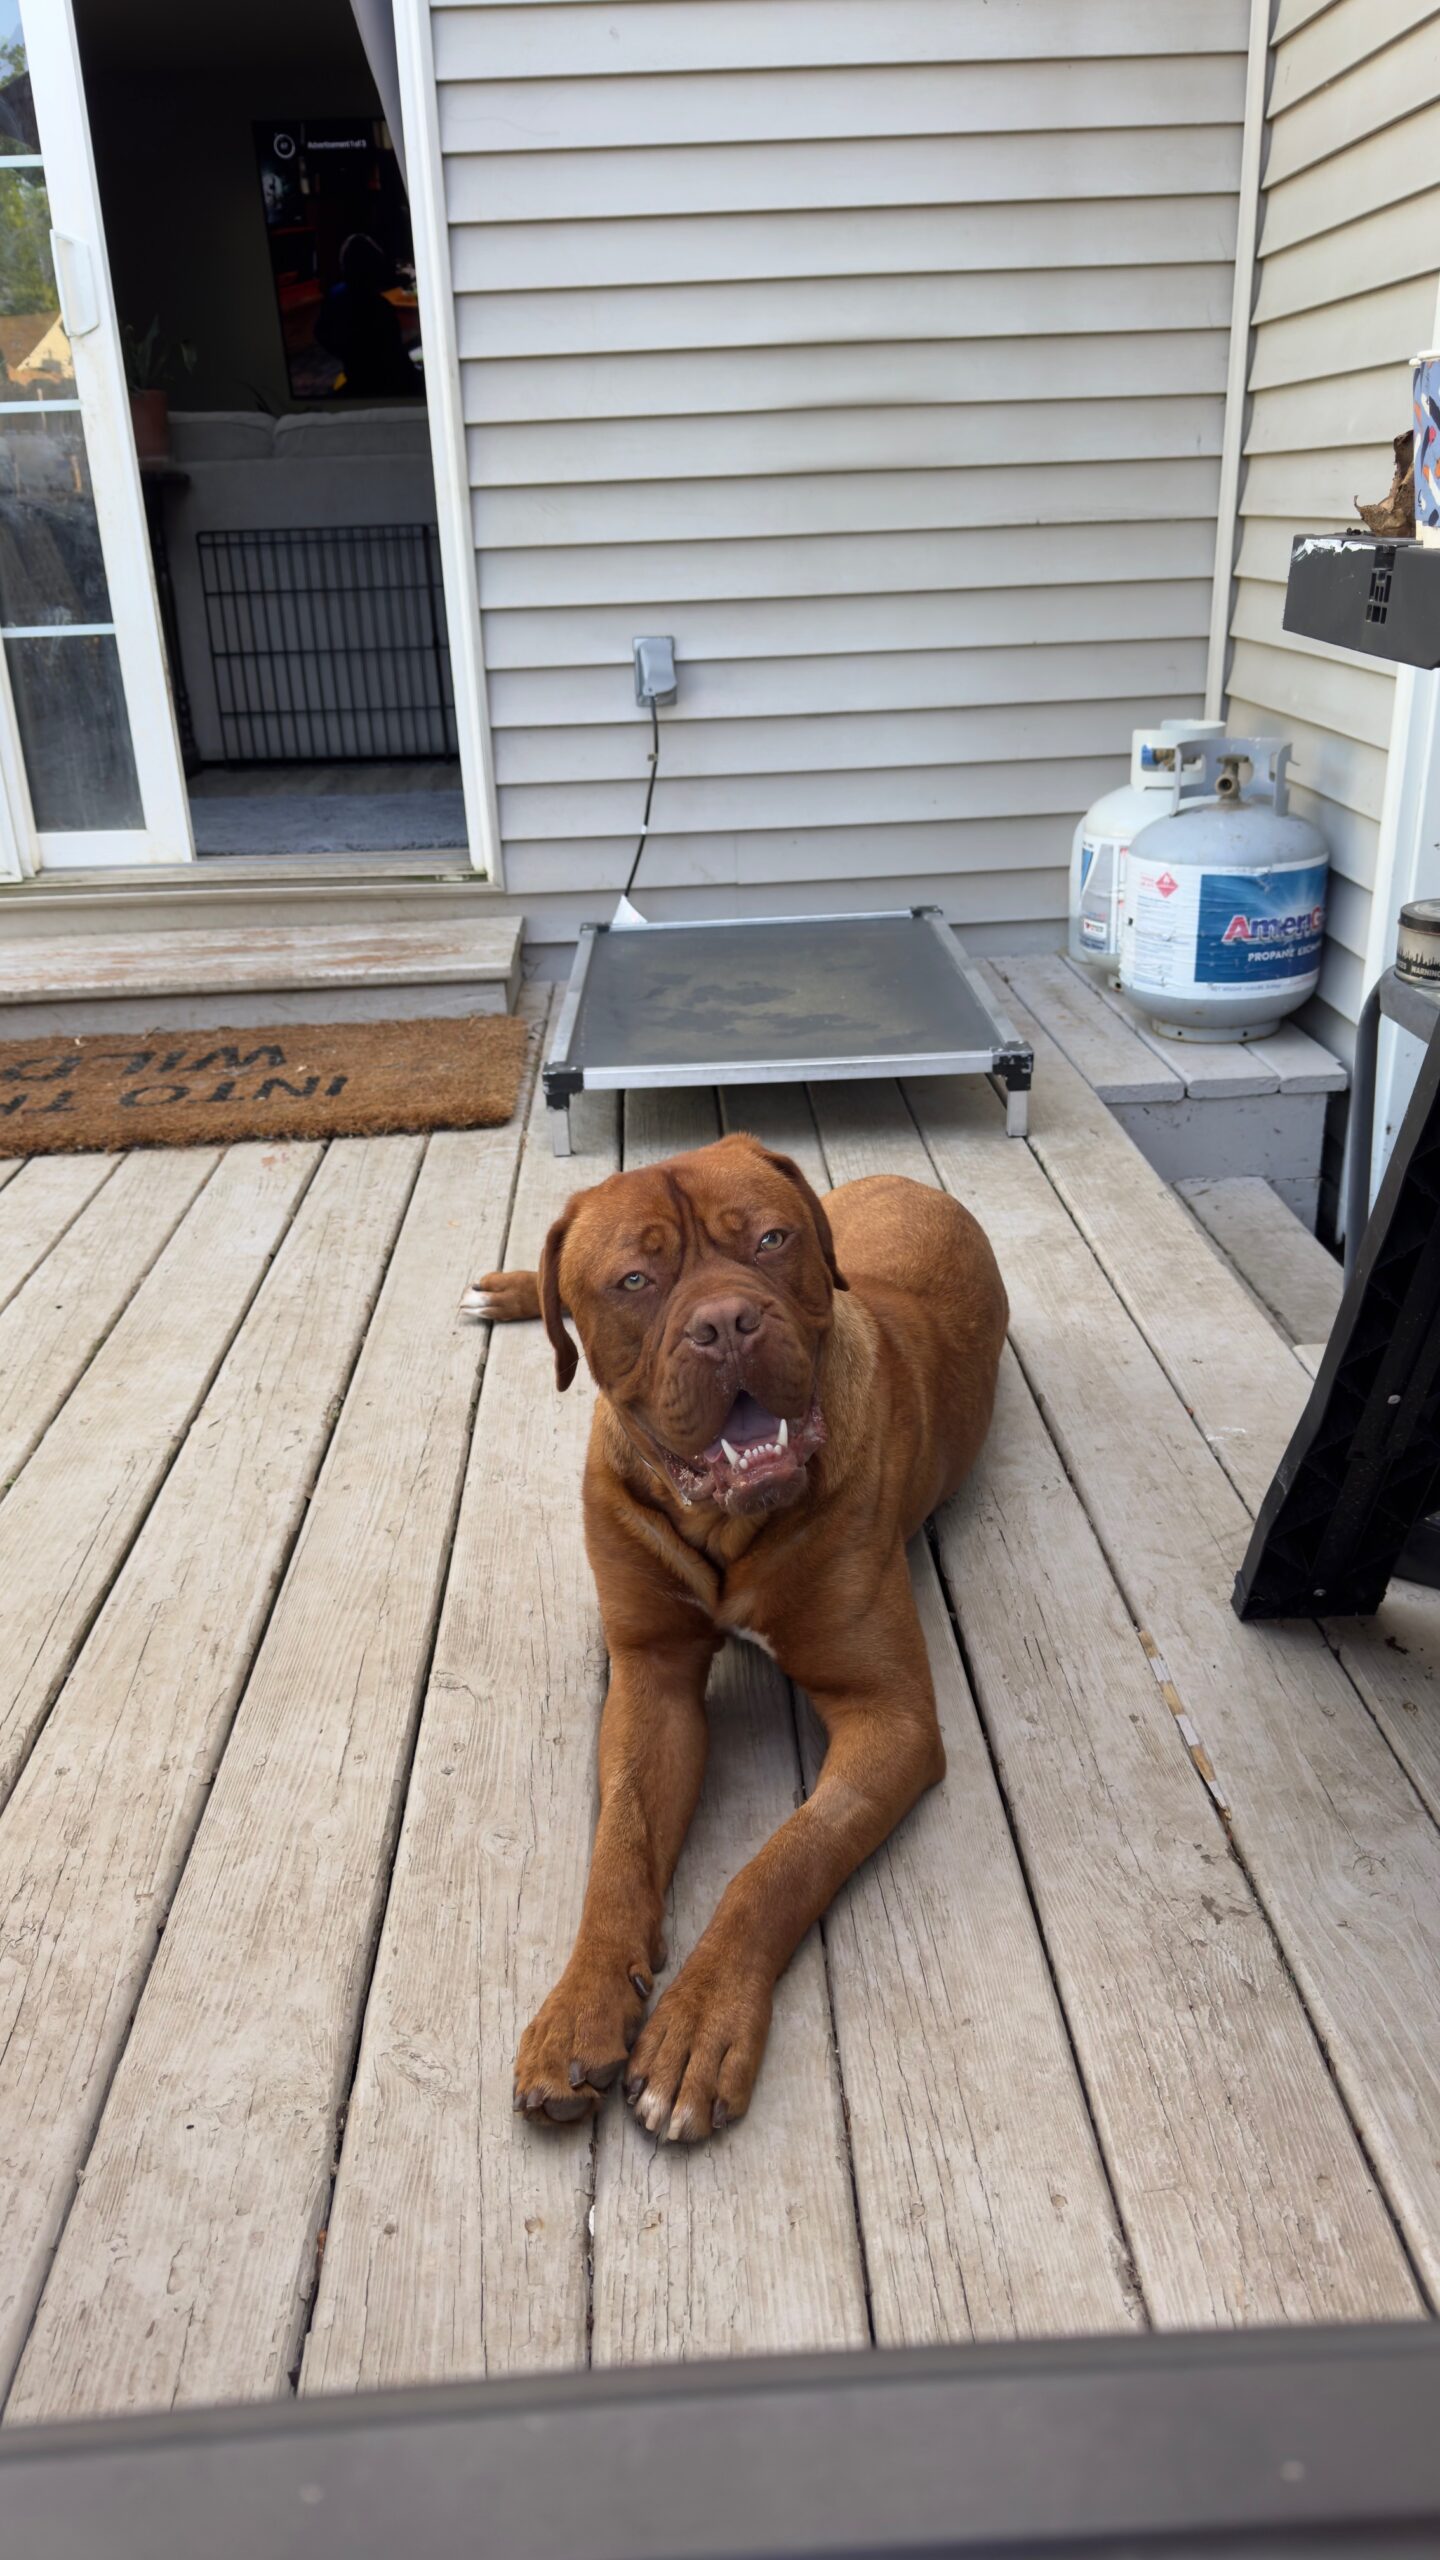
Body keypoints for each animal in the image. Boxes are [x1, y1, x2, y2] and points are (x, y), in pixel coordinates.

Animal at [467, 1133, 1007, 2143]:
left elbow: (782, 1862)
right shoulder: (651, 1679)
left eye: (769, 1239)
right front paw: (578, 2009)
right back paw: (513, 1287)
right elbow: (620, 1850)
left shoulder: (890, 1718)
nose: (724, 1323)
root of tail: (916, 1183)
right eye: (635, 1280)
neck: (729, 1523)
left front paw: (697, 2026)